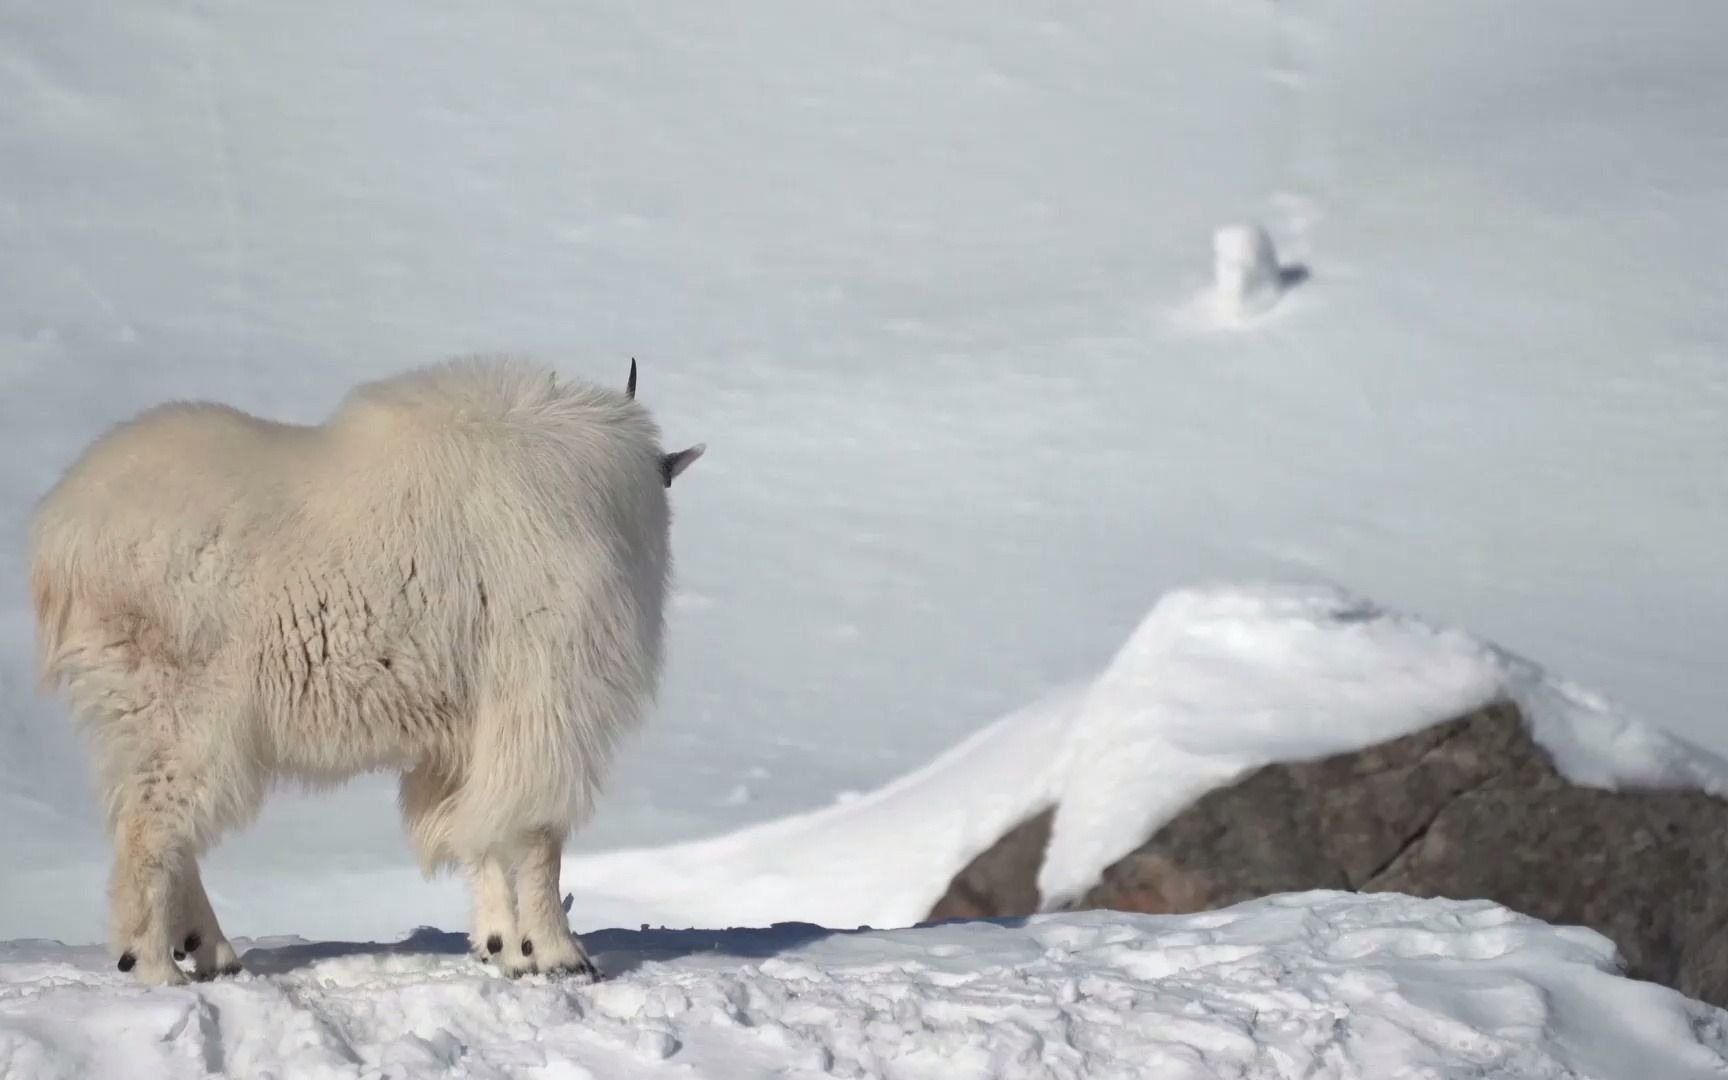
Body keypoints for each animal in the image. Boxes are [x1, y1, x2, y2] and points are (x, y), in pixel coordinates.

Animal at [27, 355, 701, 988]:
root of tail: (57, 541)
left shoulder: (464, 735)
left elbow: (477, 835)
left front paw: (502, 947)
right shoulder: (540, 702)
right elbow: (538, 837)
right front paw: (561, 956)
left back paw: (210, 950)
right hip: (178, 715)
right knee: (150, 830)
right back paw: (157, 964)